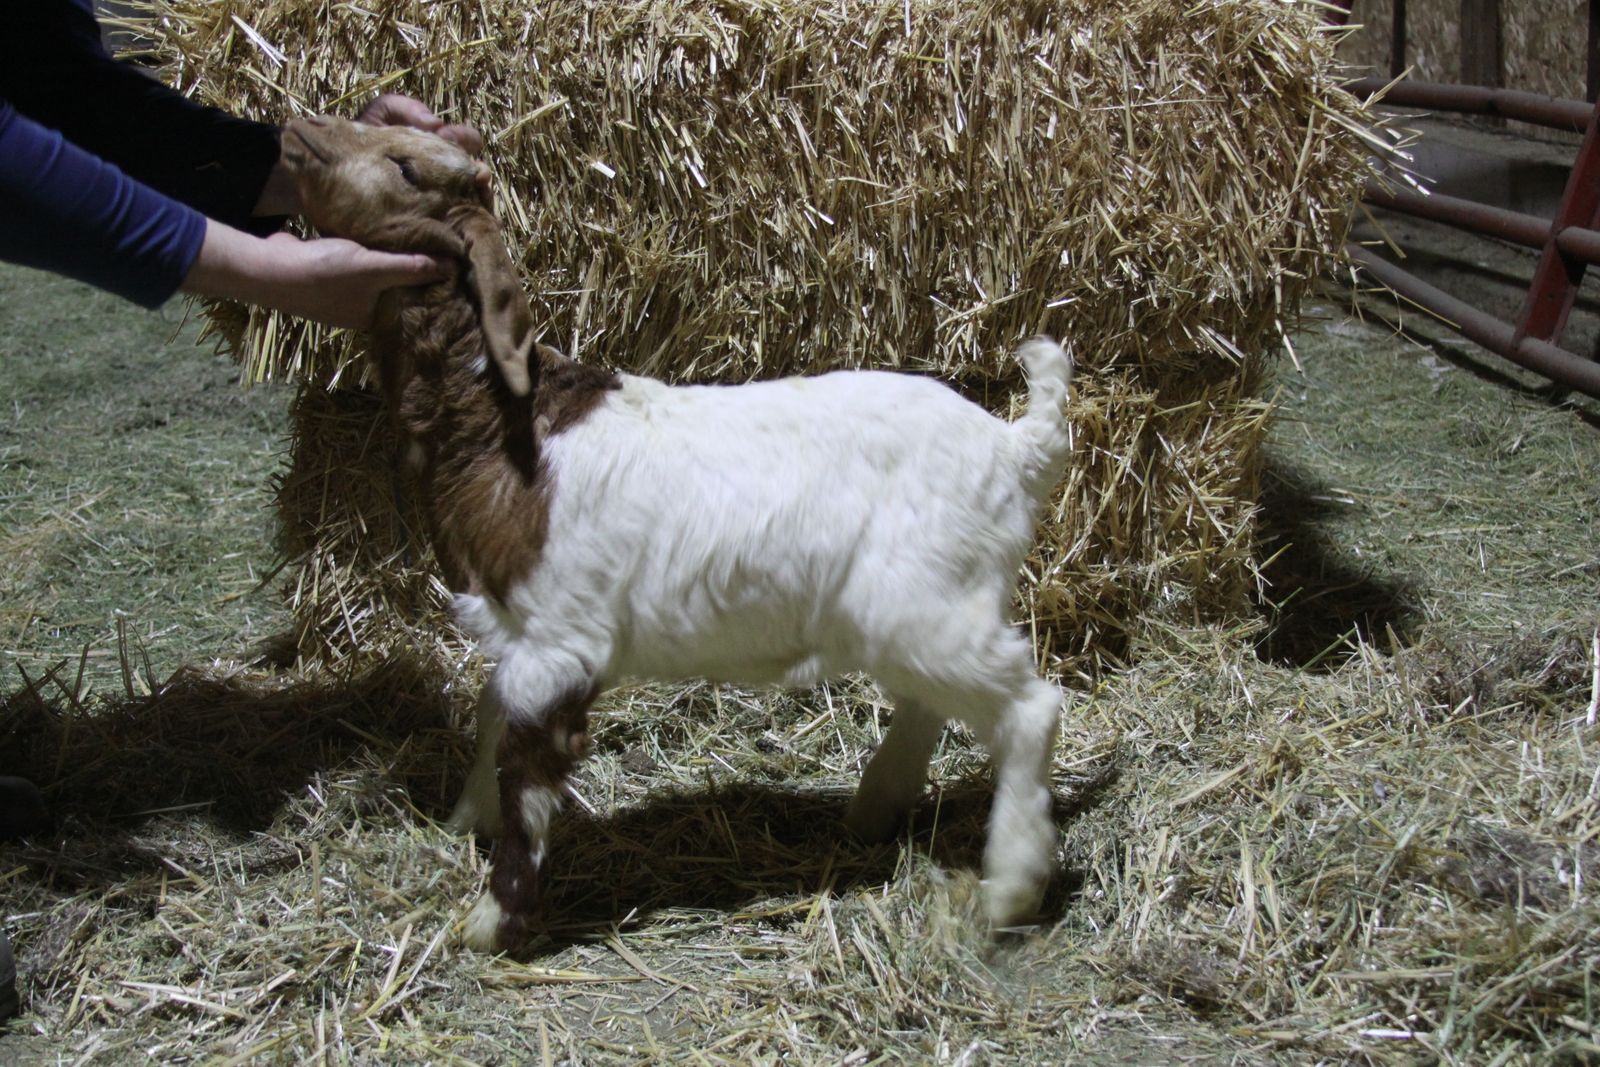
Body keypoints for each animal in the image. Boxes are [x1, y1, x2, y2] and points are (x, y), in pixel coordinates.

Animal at [280, 115, 1075, 951]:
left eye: (403, 165)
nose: (295, 130)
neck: (508, 424)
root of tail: (1016, 445)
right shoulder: (521, 632)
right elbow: (492, 715)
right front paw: (468, 818)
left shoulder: (560, 641)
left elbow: (526, 768)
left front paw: (494, 919)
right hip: (913, 609)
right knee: (931, 701)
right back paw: (873, 811)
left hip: (928, 597)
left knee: (1029, 706)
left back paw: (1010, 885)